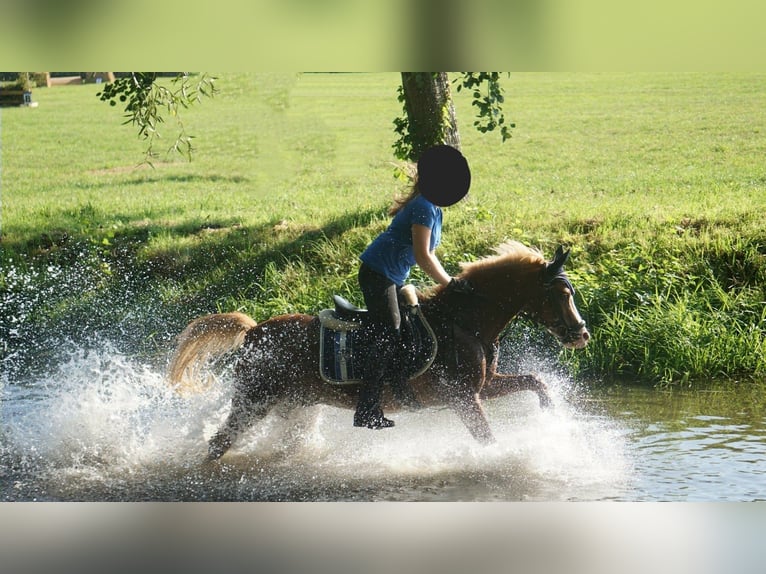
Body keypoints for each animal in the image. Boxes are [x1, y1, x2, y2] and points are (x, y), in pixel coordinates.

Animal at [166, 241, 588, 462]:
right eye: (561, 293)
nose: (581, 334)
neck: (463, 321)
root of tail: (254, 331)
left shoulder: (485, 386)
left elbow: (533, 380)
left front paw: (553, 414)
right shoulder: (463, 397)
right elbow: (487, 439)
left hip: (295, 404)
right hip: (255, 399)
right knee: (219, 443)